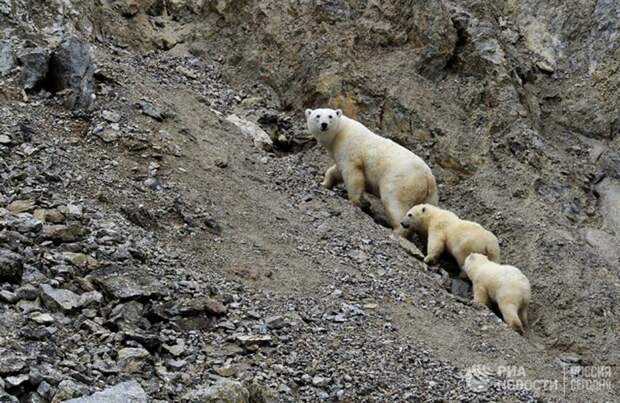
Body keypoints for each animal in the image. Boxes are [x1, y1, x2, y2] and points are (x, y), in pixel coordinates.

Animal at [308, 109, 438, 238]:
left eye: (330, 116)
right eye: (317, 115)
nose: (324, 124)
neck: (340, 132)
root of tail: (427, 177)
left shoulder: (349, 148)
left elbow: (353, 174)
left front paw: (355, 201)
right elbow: (336, 171)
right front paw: (323, 183)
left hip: (401, 182)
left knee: (394, 203)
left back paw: (397, 230)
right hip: (430, 196)